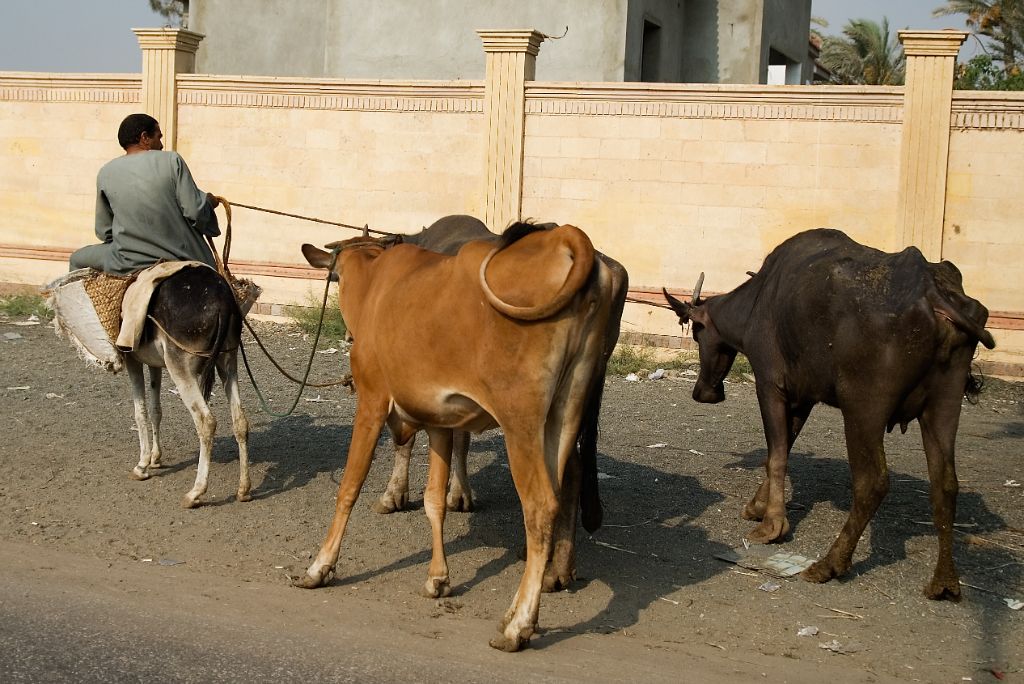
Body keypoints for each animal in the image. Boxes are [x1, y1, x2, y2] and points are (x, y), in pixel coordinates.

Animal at [296, 222, 622, 651]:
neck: (376, 284)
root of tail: (567, 236)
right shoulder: (439, 422)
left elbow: (349, 487)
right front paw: (438, 578)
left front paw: (320, 566)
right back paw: (529, 600)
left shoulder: (371, 403)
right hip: (567, 412)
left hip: (521, 420)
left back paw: (519, 625)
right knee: (566, 484)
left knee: (540, 506)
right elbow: (434, 500)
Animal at [663, 228, 991, 597]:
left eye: (698, 333)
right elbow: (782, 448)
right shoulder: (804, 396)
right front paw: (758, 506)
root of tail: (933, 294)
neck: (755, 302)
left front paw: (772, 525)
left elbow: (777, 454)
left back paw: (830, 563)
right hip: (943, 406)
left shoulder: (770, 384)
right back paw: (944, 581)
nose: (704, 392)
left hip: (863, 409)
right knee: (945, 484)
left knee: (872, 482)